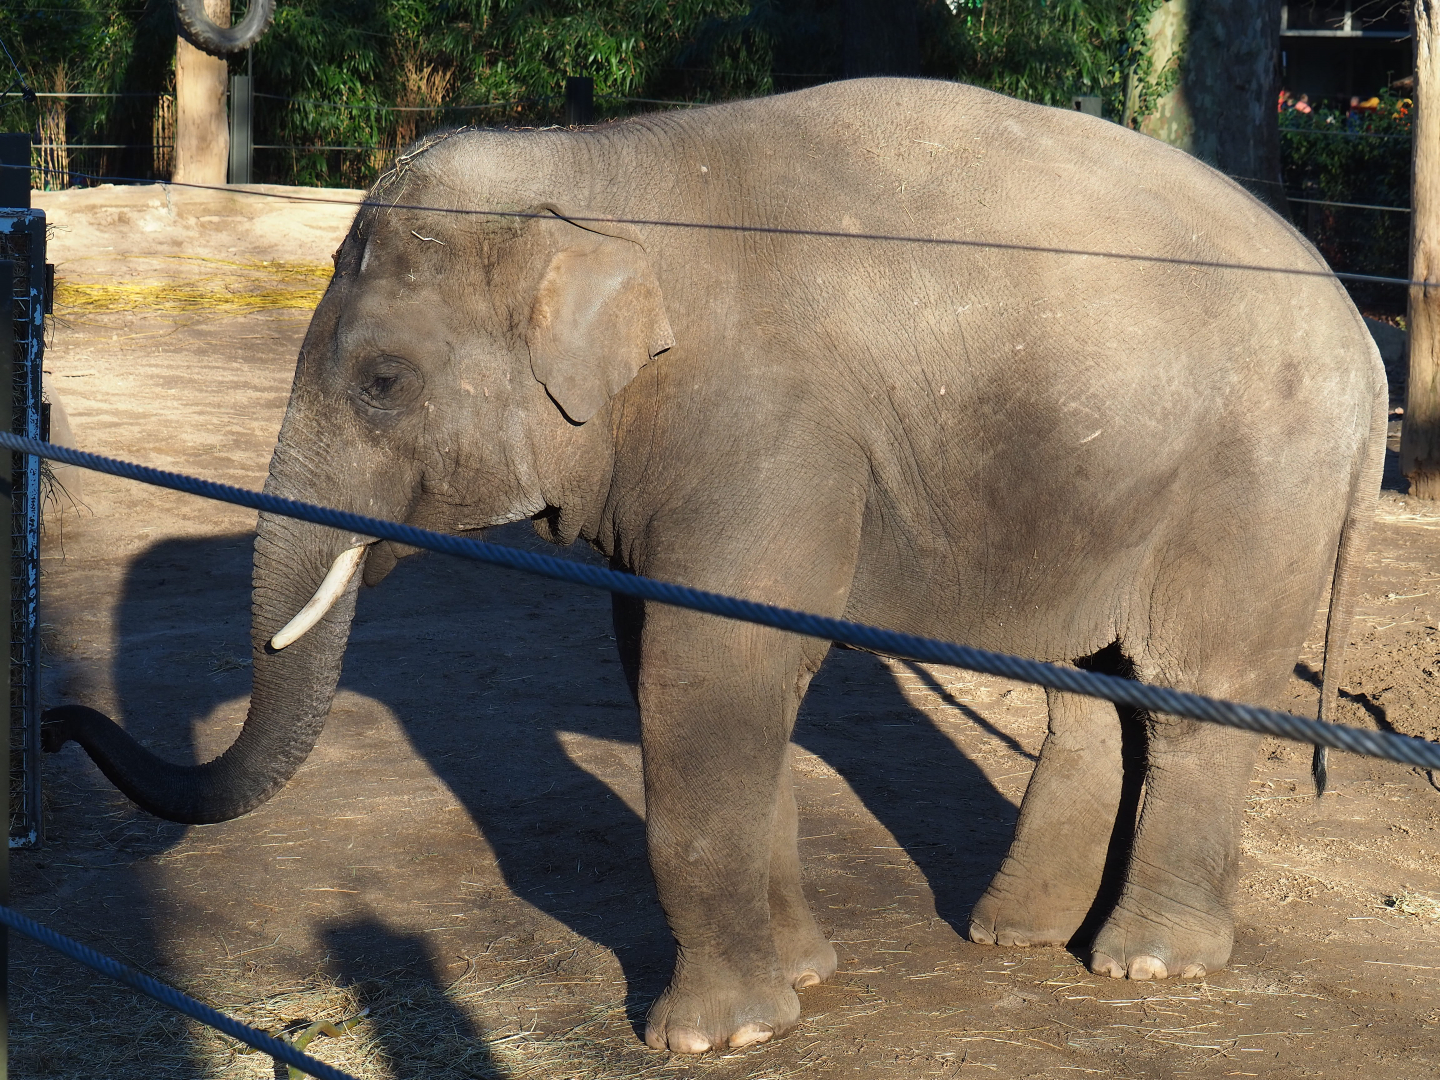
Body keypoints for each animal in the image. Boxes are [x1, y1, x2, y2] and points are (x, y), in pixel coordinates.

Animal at [44, 78, 1386, 1053]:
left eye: (381, 382)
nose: (56, 723)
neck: (594, 177)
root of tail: (1362, 334)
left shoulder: (764, 426)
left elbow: (710, 669)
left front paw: (708, 1040)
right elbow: (701, 668)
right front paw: (805, 976)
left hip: (1256, 482)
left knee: (1192, 690)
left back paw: (1147, 963)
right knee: (1091, 688)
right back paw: (1013, 937)